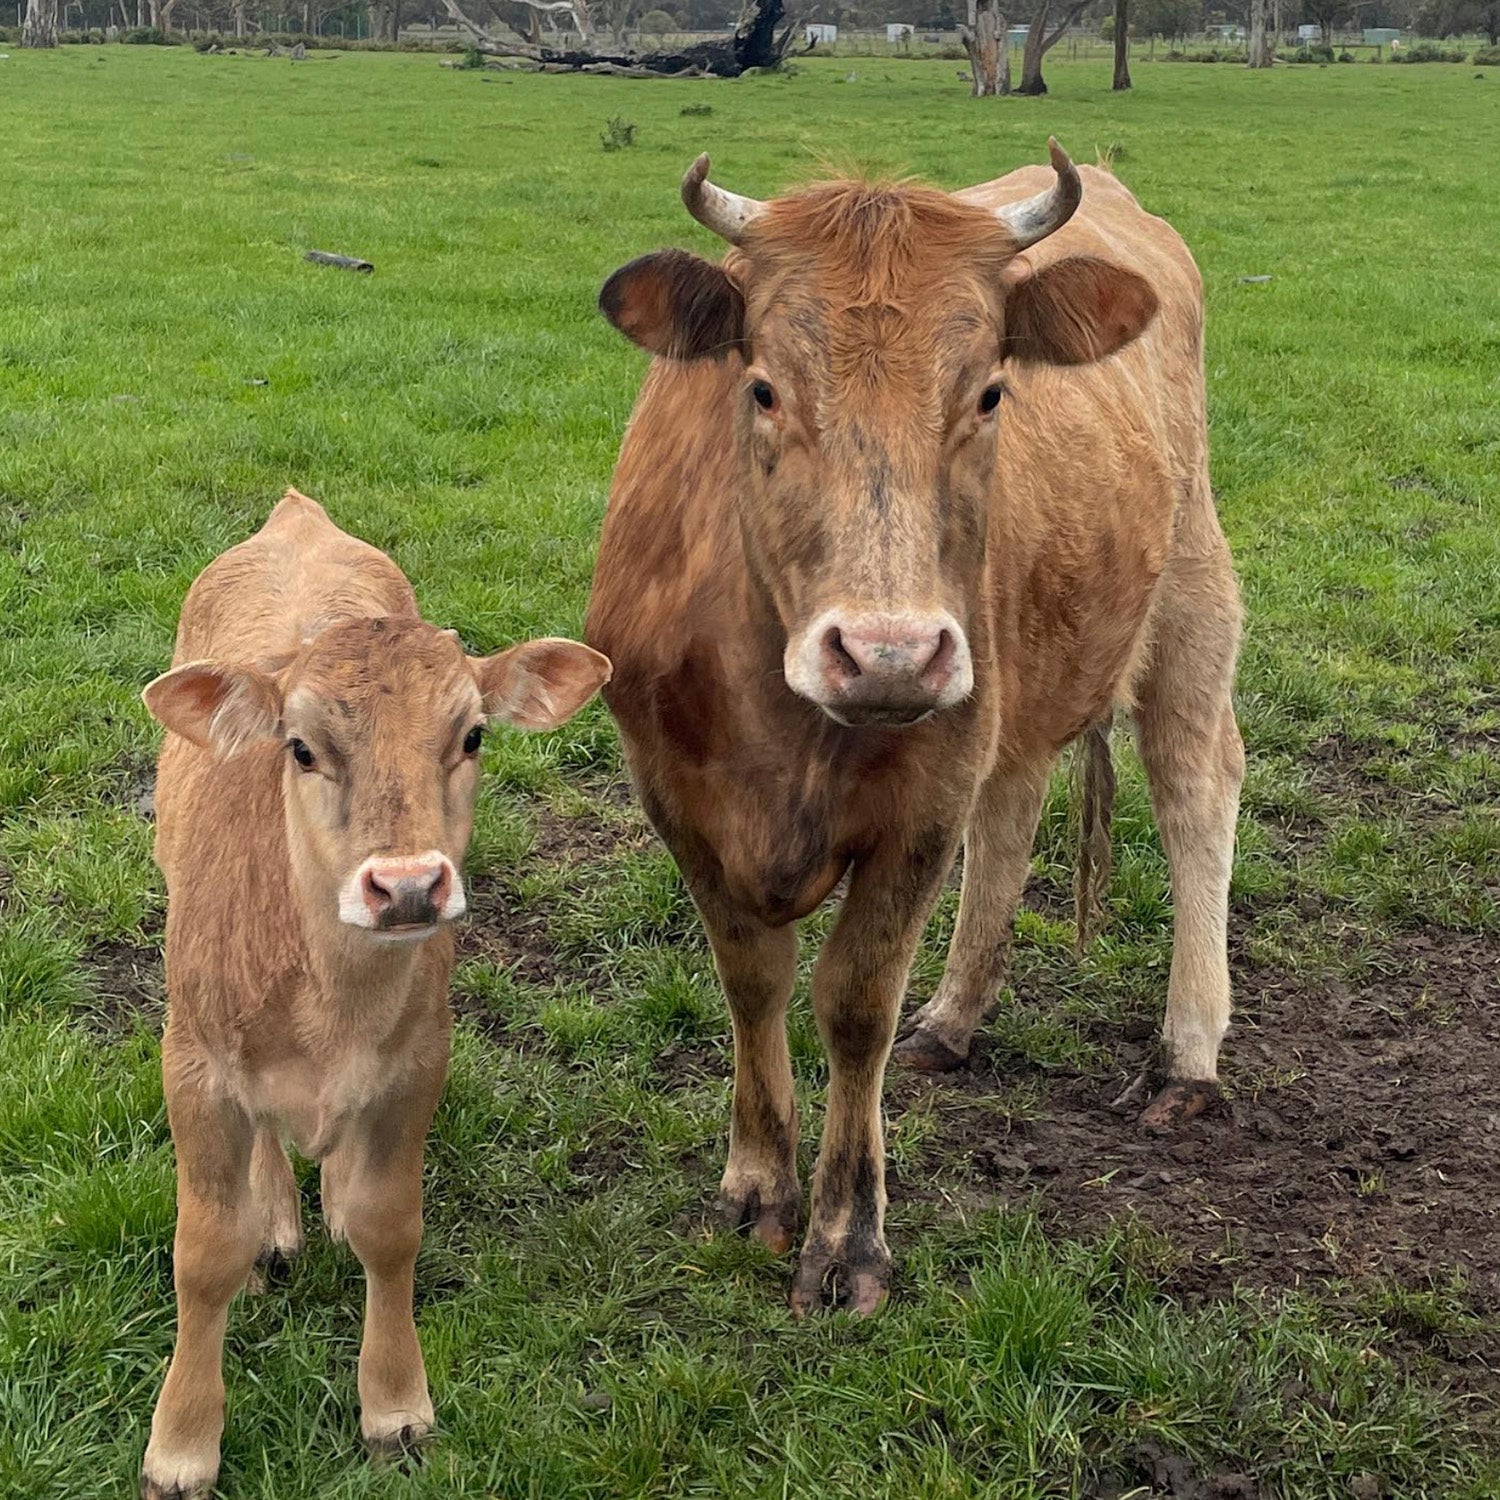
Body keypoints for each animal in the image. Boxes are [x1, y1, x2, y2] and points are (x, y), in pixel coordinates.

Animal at [137, 489, 610, 1499]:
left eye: (472, 736)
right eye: (300, 746)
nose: (406, 887)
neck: (327, 1004)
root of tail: (296, 515)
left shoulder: (417, 1059)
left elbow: (390, 1228)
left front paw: (395, 1406)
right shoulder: (192, 1062)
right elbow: (204, 1252)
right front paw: (182, 1443)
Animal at [585, 142, 1243, 1315]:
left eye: (988, 393)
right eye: (762, 387)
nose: (889, 653)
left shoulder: (923, 799)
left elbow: (853, 1004)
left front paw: (848, 1237)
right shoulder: (675, 794)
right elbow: (751, 979)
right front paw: (757, 1184)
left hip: (1189, 588)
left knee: (1196, 789)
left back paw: (1187, 1056)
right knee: (1017, 806)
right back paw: (953, 1020)